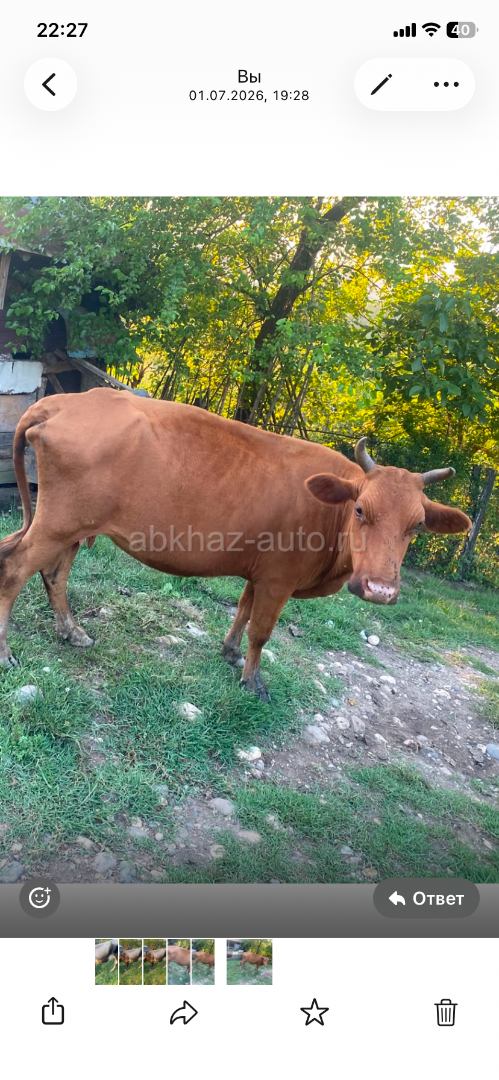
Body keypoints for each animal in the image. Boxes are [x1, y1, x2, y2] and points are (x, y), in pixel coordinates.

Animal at [0, 388, 471, 701]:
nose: (381, 589)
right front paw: (251, 680)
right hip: (57, 523)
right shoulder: (280, 578)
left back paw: (73, 631)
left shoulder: (260, 571)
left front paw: (228, 652)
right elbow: (261, 631)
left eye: (417, 525)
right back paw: (6, 652)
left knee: (53, 574)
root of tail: (65, 400)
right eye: (360, 509)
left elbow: (242, 610)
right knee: (15, 569)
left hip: (71, 526)